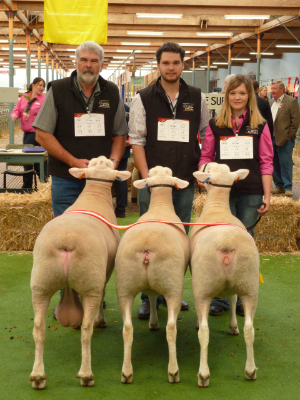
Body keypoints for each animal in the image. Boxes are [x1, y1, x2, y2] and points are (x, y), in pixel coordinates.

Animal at [29, 155, 131, 388]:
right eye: (105, 163)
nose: (103, 158)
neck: (94, 195)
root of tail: (66, 242)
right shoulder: (103, 274)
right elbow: (103, 294)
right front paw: (100, 319)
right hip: (89, 280)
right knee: (86, 330)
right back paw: (86, 374)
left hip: (41, 282)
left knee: (38, 328)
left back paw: (38, 376)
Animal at [115, 166, 190, 384]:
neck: (160, 206)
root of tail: (146, 249)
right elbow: (155, 298)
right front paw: (155, 323)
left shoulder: (149, 285)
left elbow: (151, 296)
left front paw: (153, 322)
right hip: (173, 285)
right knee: (171, 328)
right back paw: (173, 371)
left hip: (124, 285)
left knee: (127, 329)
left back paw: (126, 372)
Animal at [191, 162, 258, 388]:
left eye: (208, 169)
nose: (204, 163)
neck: (218, 207)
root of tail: (227, 246)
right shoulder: (236, 286)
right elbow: (232, 298)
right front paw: (232, 326)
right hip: (249, 285)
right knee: (250, 329)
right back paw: (250, 370)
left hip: (203, 286)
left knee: (204, 332)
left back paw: (203, 375)